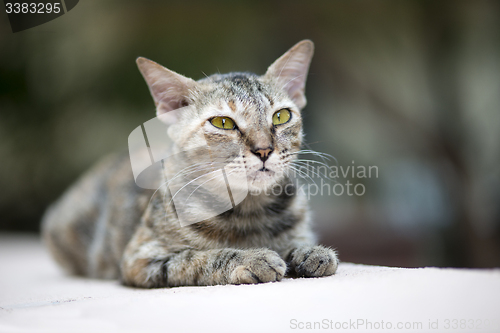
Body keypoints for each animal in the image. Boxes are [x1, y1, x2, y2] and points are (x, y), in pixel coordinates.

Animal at [41, 40, 338, 286]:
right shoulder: (141, 259)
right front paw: (252, 258)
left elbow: (297, 243)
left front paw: (310, 252)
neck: (249, 210)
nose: (264, 150)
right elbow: (199, 258)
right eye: (223, 122)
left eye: (281, 116)